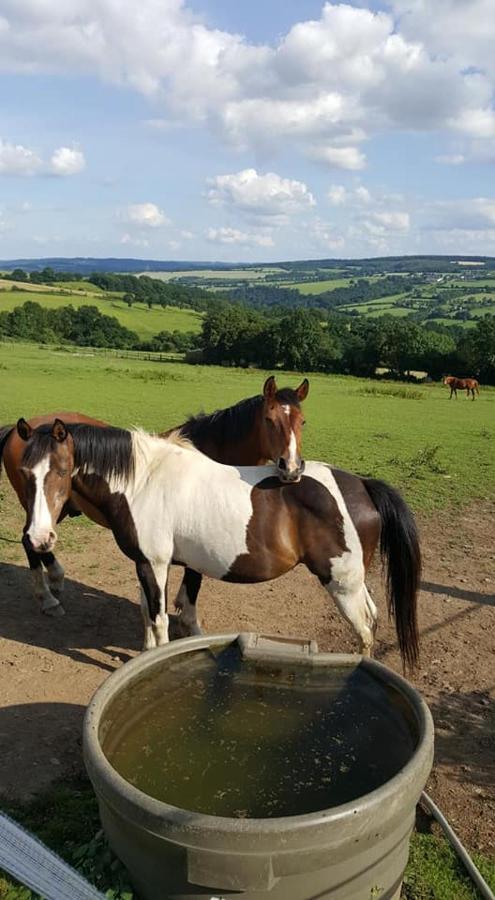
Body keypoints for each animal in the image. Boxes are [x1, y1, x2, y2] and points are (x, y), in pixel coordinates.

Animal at [0, 374, 310, 620]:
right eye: (269, 420)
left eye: (302, 422)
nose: (292, 468)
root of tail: (19, 430)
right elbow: (193, 578)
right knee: (29, 541)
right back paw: (48, 598)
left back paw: (55, 579)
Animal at [16, 416, 422, 668]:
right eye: (25, 472)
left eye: (62, 471)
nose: (38, 537)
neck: (143, 481)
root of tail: (362, 485)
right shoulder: (145, 563)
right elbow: (147, 612)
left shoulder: (155, 563)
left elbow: (159, 618)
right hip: (354, 581)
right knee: (372, 616)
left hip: (341, 584)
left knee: (365, 628)